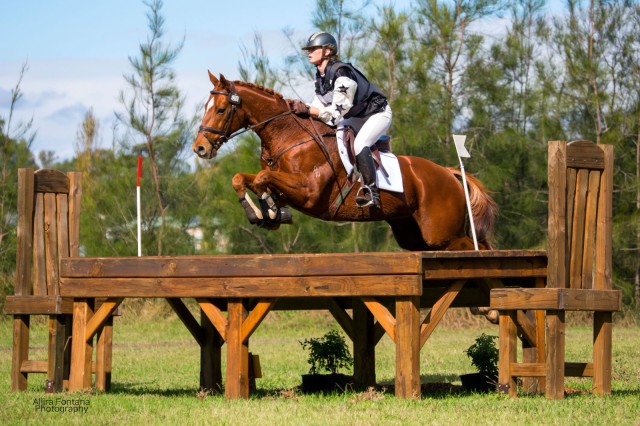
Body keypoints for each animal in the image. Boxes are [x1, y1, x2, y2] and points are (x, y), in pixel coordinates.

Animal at [192, 71, 498, 251]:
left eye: (221, 109)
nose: (200, 148)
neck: (289, 136)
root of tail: (448, 173)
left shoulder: (309, 192)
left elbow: (262, 179)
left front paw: (267, 209)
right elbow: (244, 179)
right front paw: (265, 212)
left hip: (442, 233)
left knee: (473, 245)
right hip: (413, 234)